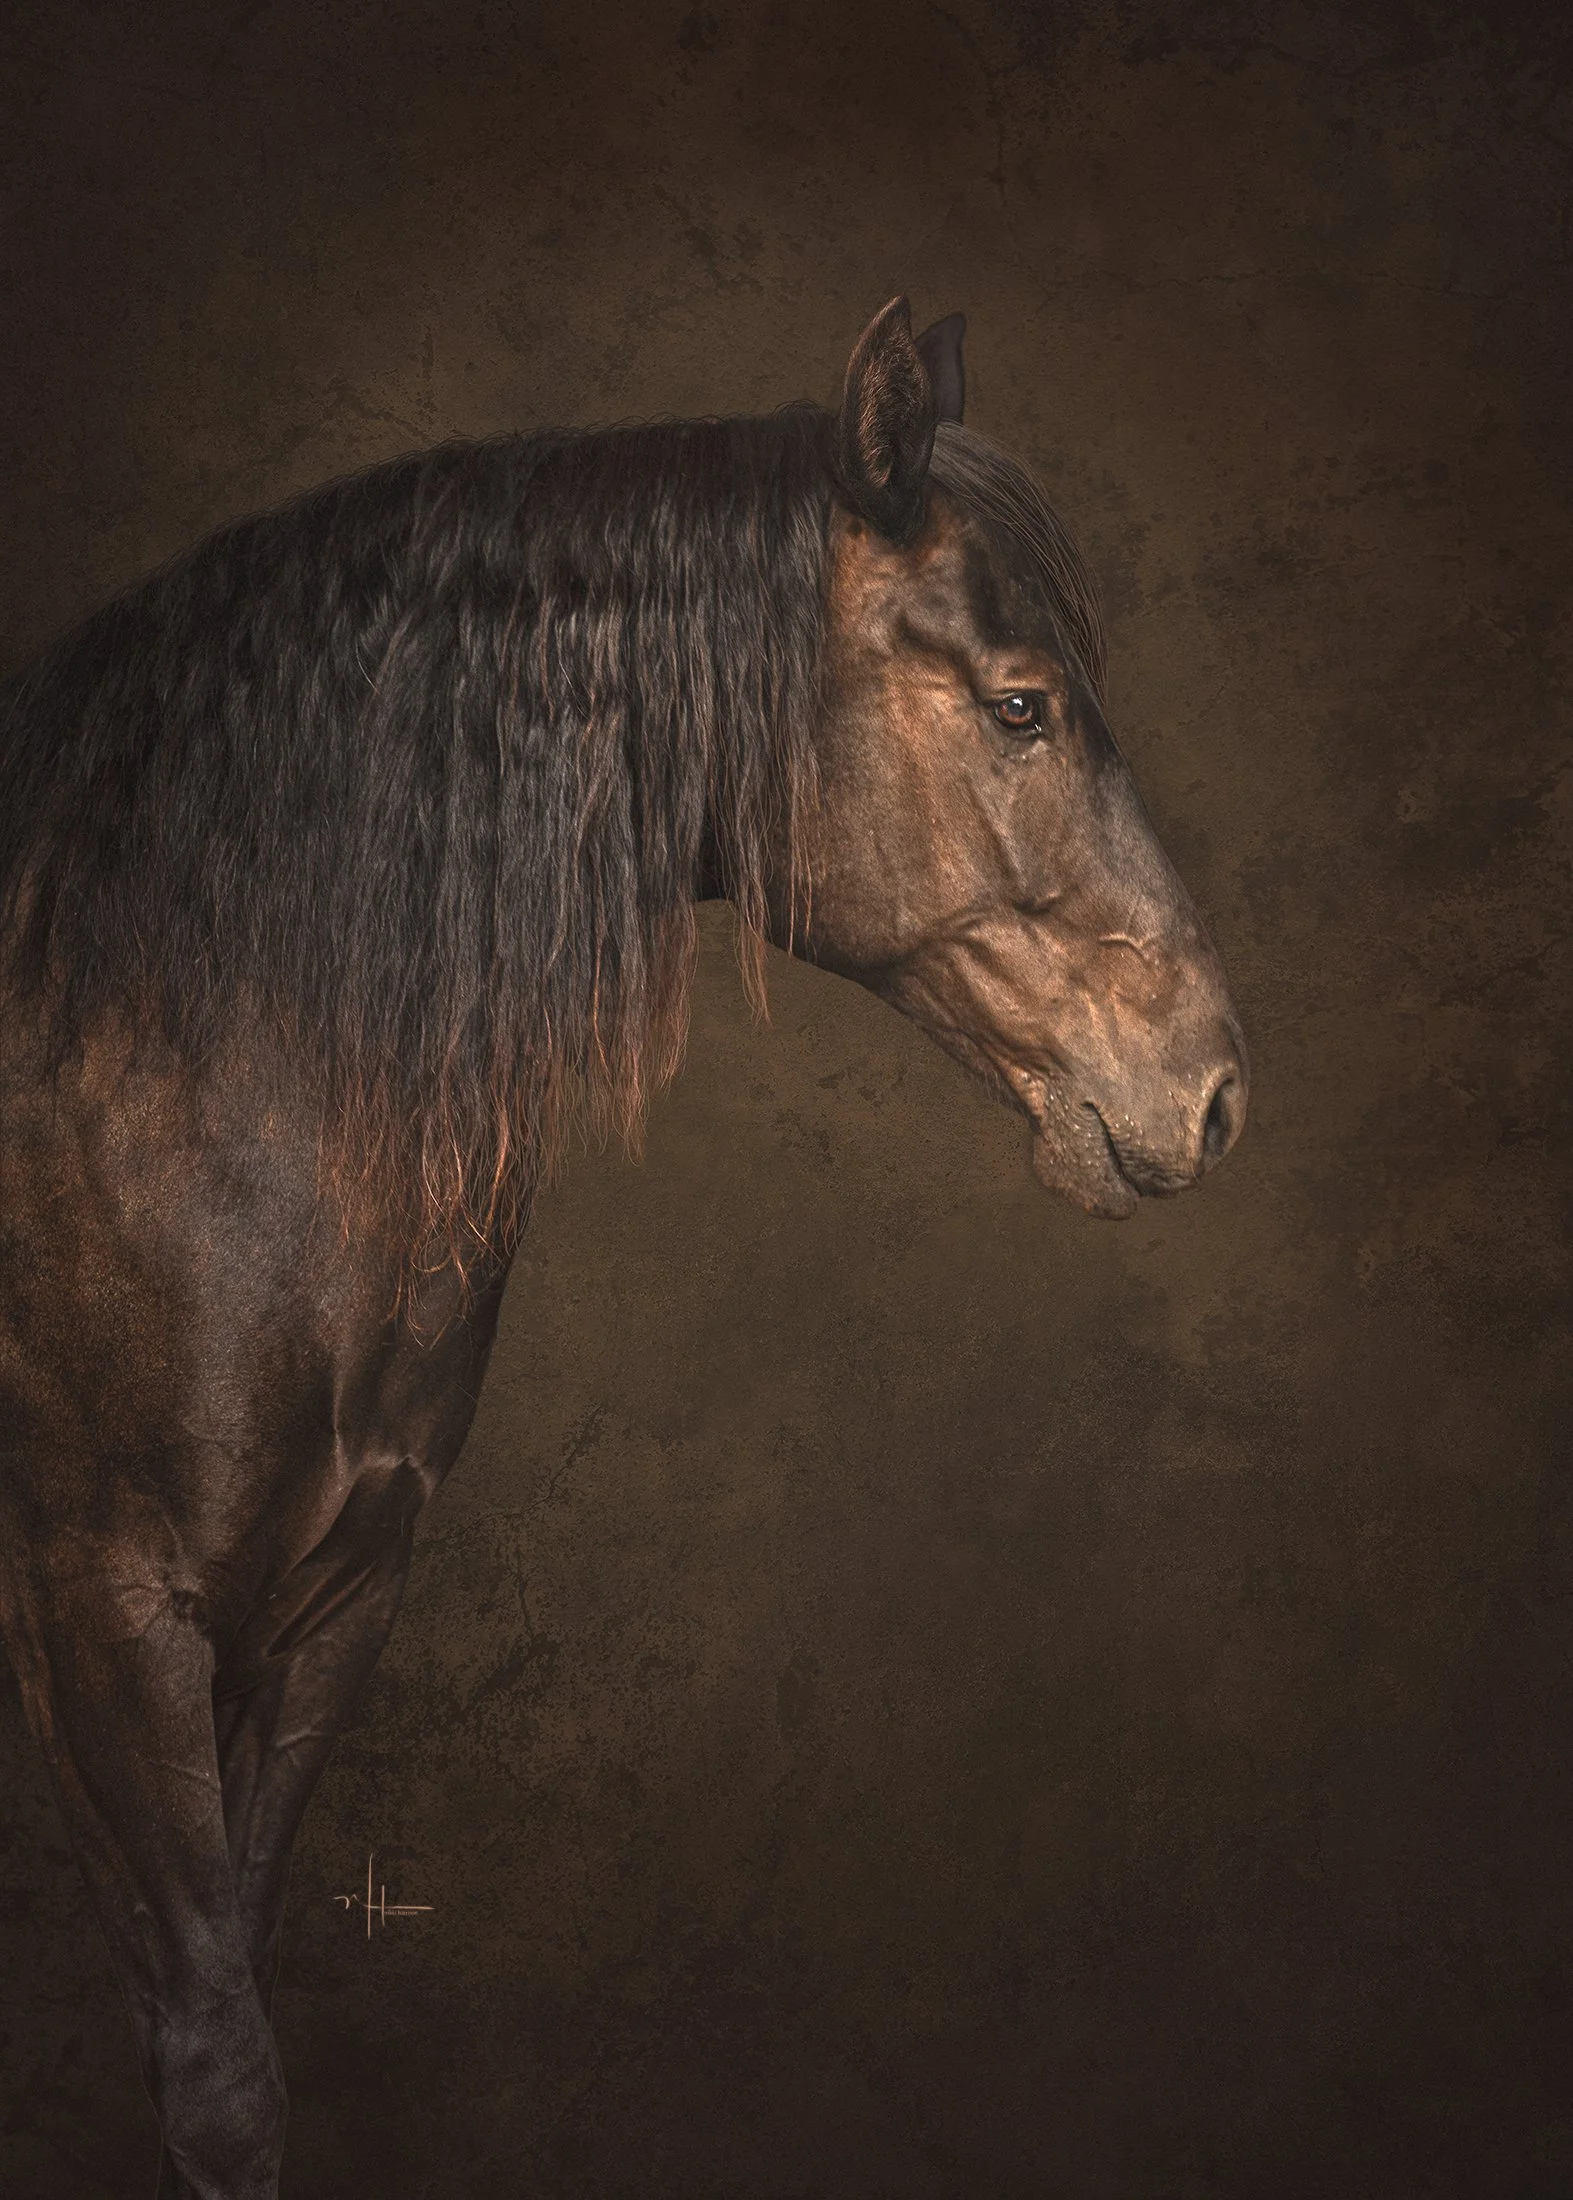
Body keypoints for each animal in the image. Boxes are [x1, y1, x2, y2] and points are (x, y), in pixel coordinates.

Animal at [0, 298, 1247, 2198]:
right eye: (1021, 704)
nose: (1213, 1089)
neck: (187, 1065)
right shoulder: (104, 1613)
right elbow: (216, 2066)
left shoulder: (331, 1601)